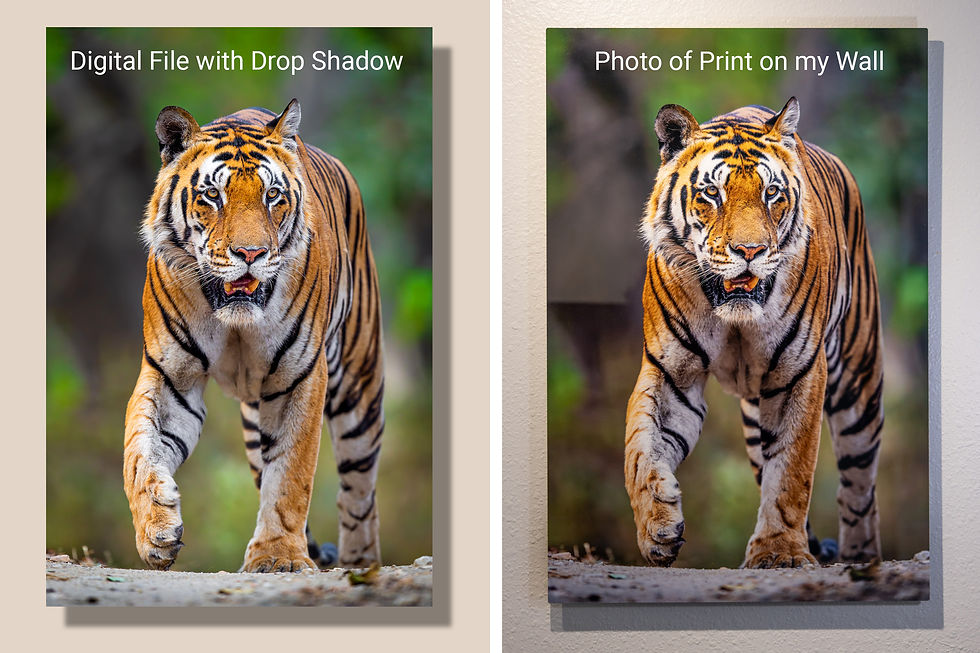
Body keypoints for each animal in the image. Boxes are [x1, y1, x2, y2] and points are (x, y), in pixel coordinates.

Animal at [123, 99, 385, 572]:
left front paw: (278, 557)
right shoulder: (171, 376)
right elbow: (139, 450)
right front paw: (156, 528)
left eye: (272, 195)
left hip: (359, 388)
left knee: (359, 492)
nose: (251, 254)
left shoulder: (300, 377)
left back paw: (359, 564)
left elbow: (291, 475)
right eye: (213, 195)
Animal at [625, 98, 884, 569]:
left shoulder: (799, 373)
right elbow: (640, 447)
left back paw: (859, 558)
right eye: (712, 193)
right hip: (753, 418)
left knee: (859, 488)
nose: (750, 251)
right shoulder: (671, 372)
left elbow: (791, 471)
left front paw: (779, 552)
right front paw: (657, 526)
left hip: (858, 385)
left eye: (772, 193)